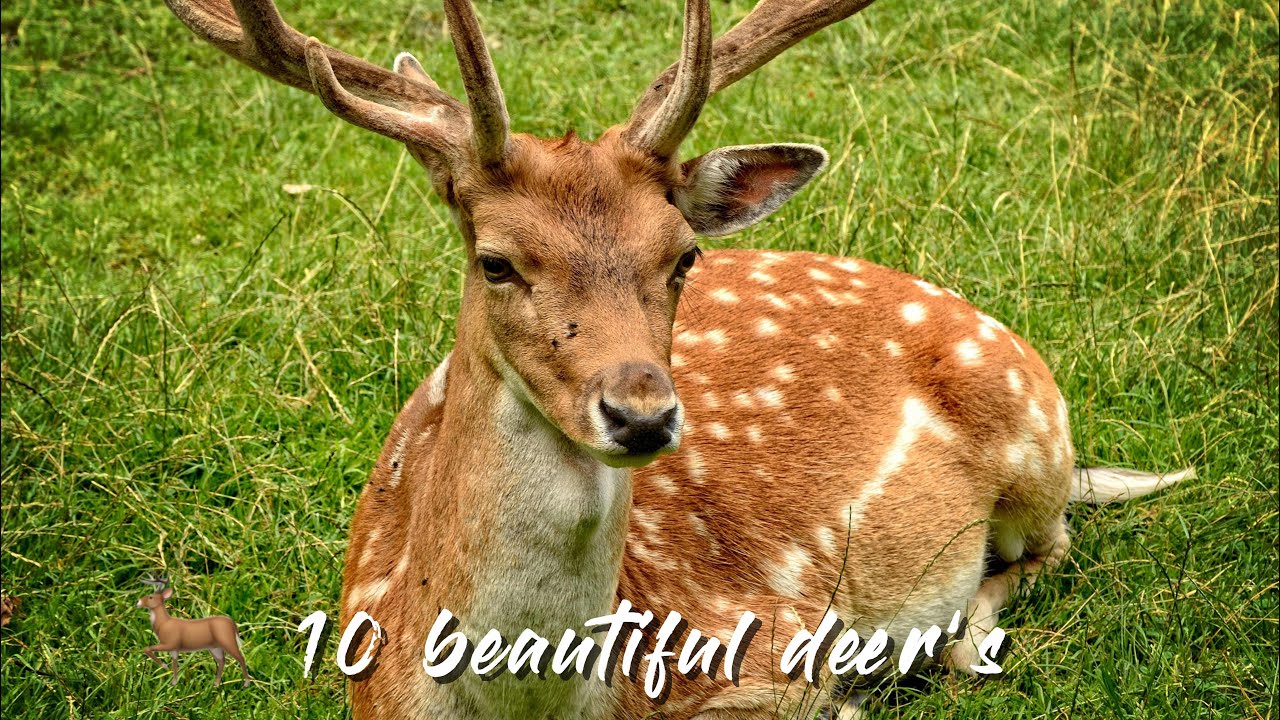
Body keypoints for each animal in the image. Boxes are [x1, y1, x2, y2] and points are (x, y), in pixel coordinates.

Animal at [164, 0, 1193, 717]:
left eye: (682, 255)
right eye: (496, 260)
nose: (642, 412)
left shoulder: (765, 657)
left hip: (1026, 426)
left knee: (1049, 547)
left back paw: (964, 642)